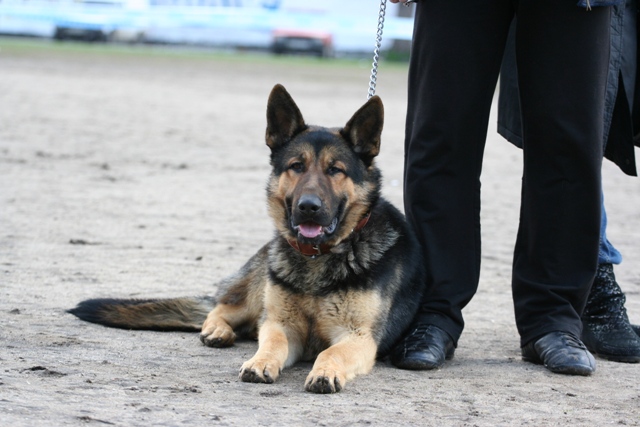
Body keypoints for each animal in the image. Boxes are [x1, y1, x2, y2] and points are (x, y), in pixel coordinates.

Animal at [68, 84, 426, 393]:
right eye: (297, 166)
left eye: (335, 170)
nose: (308, 207)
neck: (318, 257)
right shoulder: (281, 324)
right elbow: (274, 341)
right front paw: (260, 362)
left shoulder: (359, 337)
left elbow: (331, 352)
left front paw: (325, 372)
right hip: (256, 291)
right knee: (222, 308)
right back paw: (216, 330)